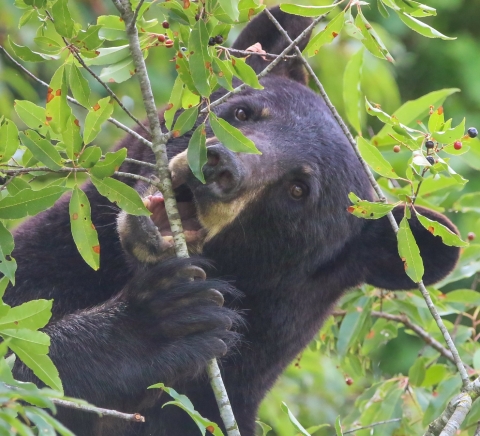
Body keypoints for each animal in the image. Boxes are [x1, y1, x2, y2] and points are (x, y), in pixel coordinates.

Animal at [5, 6, 460, 436]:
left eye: (298, 190)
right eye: (243, 113)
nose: (220, 166)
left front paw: (165, 323)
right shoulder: (41, 266)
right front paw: (155, 326)